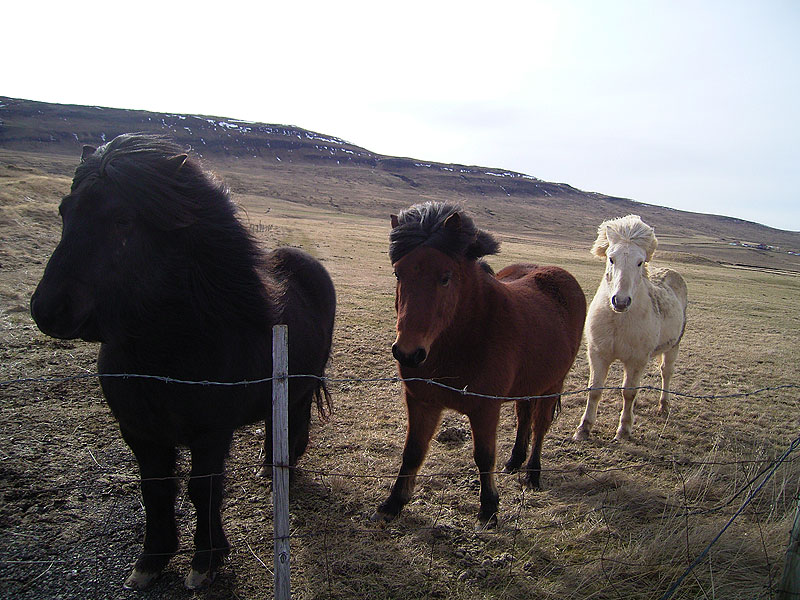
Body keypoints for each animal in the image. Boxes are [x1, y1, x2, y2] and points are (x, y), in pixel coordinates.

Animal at [29, 132, 336, 592]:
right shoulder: (139, 432)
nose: (48, 309)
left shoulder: (211, 434)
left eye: (123, 220)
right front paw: (151, 559)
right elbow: (156, 490)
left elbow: (201, 491)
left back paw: (281, 471)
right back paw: (268, 466)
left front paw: (205, 560)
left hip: (300, 387)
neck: (165, 351)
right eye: (65, 212)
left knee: (293, 422)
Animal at [376, 204, 588, 528]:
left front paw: (489, 508)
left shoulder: (485, 408)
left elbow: (484, 456)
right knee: (525, 419)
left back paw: (533, 474)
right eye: (398, 272)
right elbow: (413, 452)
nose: (408, 353)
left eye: (445, 277)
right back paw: (514, 462)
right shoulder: (421, 401)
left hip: (553, 384)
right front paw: (394, 503)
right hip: (528, 384)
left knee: (540, 426)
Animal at [576, 216, 688, 440]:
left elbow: (628, 392)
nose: (620, 301)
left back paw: (664, 406)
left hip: (673, 347)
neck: (617, 321)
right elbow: (595, 390)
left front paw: (624, 430)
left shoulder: (636, 360)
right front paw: (584, 428)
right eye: (611, 258)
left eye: (640, 261)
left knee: (666, 372)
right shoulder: (598, 354)